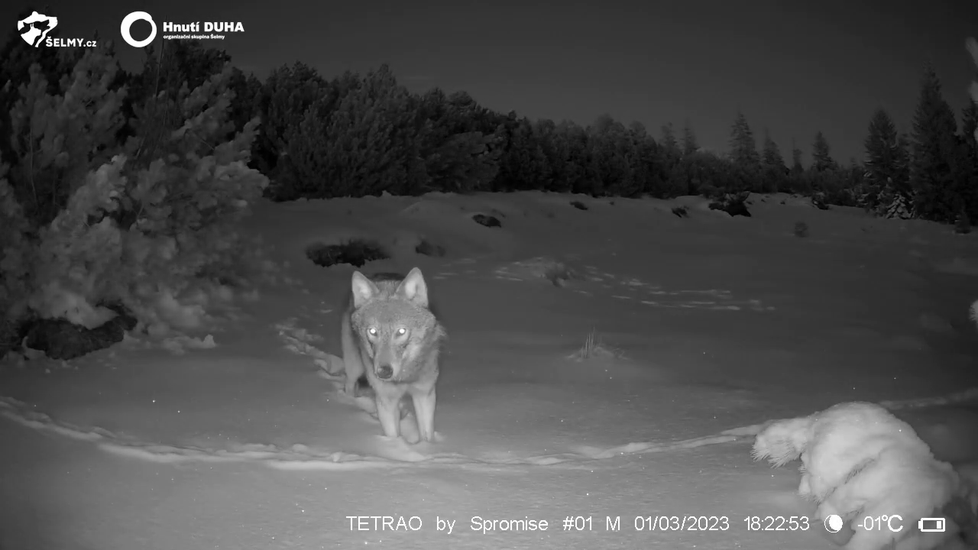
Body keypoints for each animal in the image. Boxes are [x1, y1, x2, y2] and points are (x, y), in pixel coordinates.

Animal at [340, 268, 446, 444]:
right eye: (373, 331)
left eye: (401, 331)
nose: (383, 372)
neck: (404, 377)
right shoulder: (386, 400)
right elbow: (393, 435)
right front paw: (395, 448)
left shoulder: (425, 394)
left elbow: (426, 434)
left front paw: (427, 448)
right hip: (354, 367)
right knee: (349, 384)